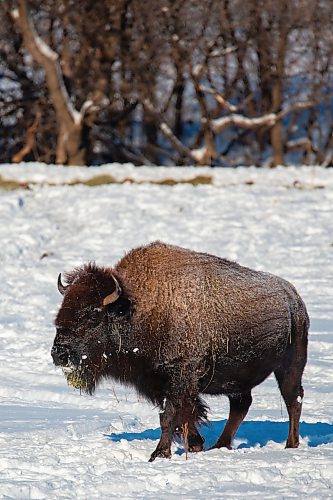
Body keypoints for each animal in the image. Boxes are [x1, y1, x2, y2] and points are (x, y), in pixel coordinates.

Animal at [52, 241, 308, 460]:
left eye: (92, 315)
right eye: (62, 310)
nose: (59, 354)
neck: (137, 308)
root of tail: (294, 298)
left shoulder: (180, 376)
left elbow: (170, 416)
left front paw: (159, 454)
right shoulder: (160, 383)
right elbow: (185, 415)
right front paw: (195, 445)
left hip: (290, 366)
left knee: (293, 399)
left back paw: (290, 445)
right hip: (238, 382)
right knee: (241, 406)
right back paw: (220, 445)